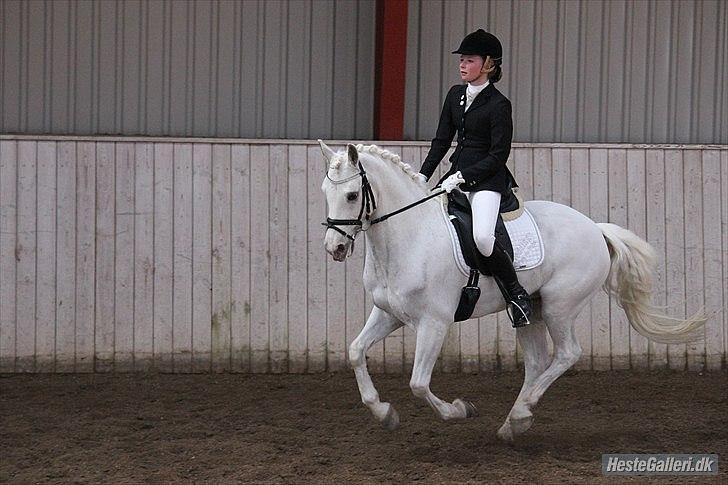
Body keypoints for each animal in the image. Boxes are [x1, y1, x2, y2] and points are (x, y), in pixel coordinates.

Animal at [319, 140, 706, 441]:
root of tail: (595, 228)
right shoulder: (389, 314)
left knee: (567, 354)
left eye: (352, 195)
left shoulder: (434, 322)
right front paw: (384, 413)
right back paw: (513, 423)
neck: (409, 236)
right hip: (531, 308)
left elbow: (418, 383)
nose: (334, 248)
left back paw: (522, 413)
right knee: (536, 361)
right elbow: (355, 351)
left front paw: (460, 410)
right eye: (325, 192)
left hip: (560, 306)